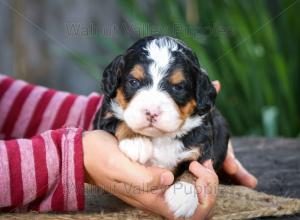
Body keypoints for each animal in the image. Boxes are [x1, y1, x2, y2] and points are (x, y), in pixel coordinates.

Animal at [94, 35, 230, 217]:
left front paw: (182, 197)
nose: (152, 112)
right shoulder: (104, 118)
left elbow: (193, 168)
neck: (161, 136)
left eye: (178, 87)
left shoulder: (203, 142)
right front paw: (136, 142)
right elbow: (120, 121)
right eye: (133, 82)